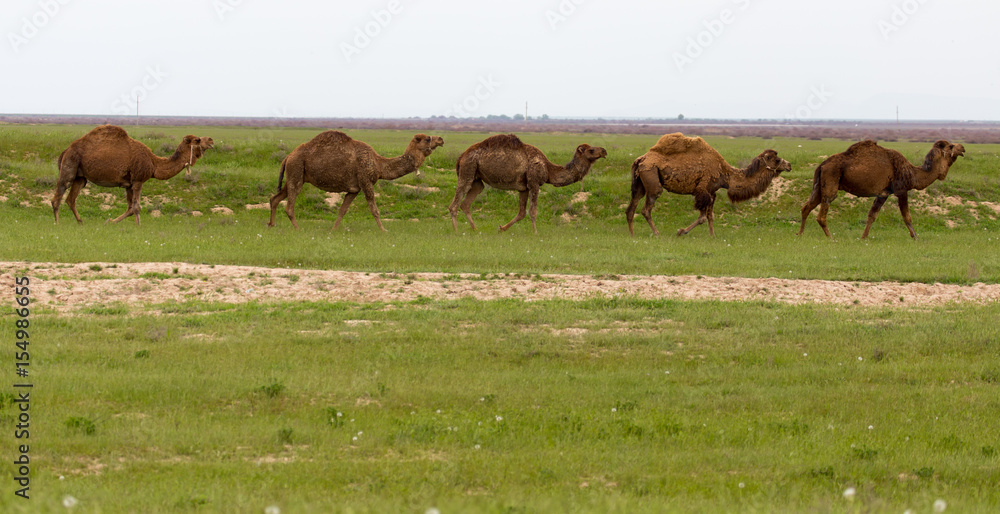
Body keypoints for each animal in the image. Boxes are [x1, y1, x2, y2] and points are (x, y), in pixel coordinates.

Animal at [52, 125, 213, 225]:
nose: (211, 140)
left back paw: (80, 222)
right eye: (198, 140)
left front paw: (109, 222)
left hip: (81, 177)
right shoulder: (138, 180)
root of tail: (66, 150)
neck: (153, 163)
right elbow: (136, 207)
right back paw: (58, 223)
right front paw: (138, 226)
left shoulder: (128, 184)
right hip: (70, 165)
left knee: (71, 199)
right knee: (58, 195)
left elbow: (129, 208)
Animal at [267, 131, 444, 231]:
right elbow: (374, 209)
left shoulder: (354, 189)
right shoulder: (366, 182)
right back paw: (297, 229)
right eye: (427, 139)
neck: (378, 164)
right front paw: (384, 230)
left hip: (295, 174)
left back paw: (271, 225)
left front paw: (333, 230)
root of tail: (287, 157)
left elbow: (342, 210)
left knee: (275, 198)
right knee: (289, 205)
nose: (441, 139)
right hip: (296, 170)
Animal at [449, 134, 607, 233]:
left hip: (476, 179)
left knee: (466, 203)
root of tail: (461, 157)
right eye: (591, 150)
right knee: (454, 204)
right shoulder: (534, 183)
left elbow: (521, 213)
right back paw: (456, 231)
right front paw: (536, 233)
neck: (549, 169)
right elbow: (533, 211)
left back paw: (475, 229)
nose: (604, 151)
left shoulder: (523, 188)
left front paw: (501, 228)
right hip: (468, 169)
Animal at [626, 133, 791, 237]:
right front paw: (681, 232)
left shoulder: (712, 192)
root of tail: (640, 159)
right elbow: (702, 218)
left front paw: (713, 236)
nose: (789, 165)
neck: (725, 174)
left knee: (631, 207)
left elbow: (710, 216)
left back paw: (632, 234)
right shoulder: (703, 191)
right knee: (646, 209)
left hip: (640, 183)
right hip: (652, 179)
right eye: (777, 160)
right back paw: (657, 233)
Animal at [797, 140, 965, 239]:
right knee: (822, 213)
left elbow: (872, 215)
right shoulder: (901, 190)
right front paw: (916, 237)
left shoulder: (883, 193)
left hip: (820, 184)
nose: (963, 148)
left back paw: (800, 233)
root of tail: (822, 164)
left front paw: (863, 237)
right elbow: (907, 217)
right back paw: (831, 238)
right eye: (951, 146)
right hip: (831, 180)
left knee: (806, 207)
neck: (912, 173)